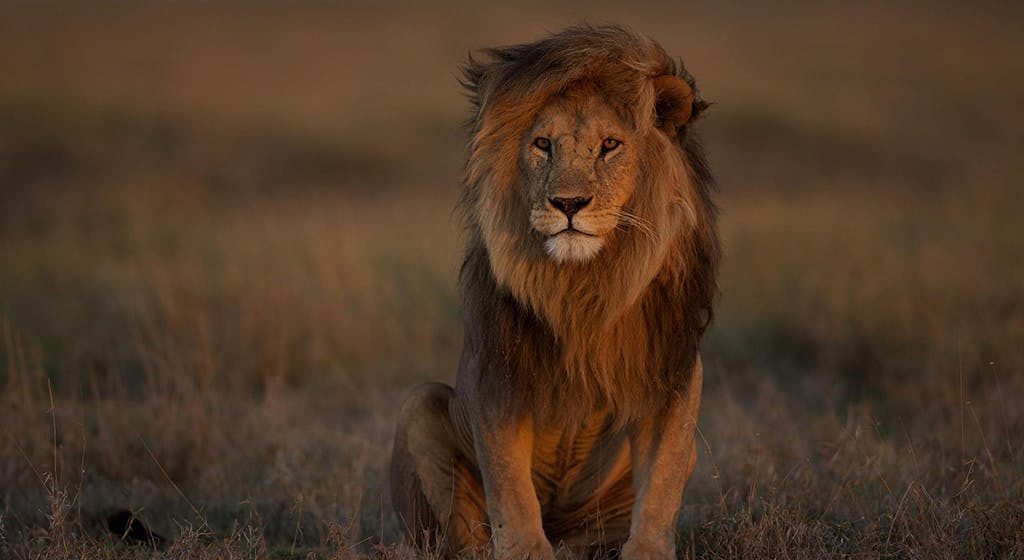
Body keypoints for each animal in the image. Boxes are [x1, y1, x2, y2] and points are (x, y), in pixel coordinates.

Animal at [390, 25, 719, 559]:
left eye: (610, 145)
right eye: (543, 144)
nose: (568, 203)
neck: (580, 286)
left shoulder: (671, 371)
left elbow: (663, 480)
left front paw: (648, 551)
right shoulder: (496, 372)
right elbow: (510, 484)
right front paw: (525, 550)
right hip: (418, 406)